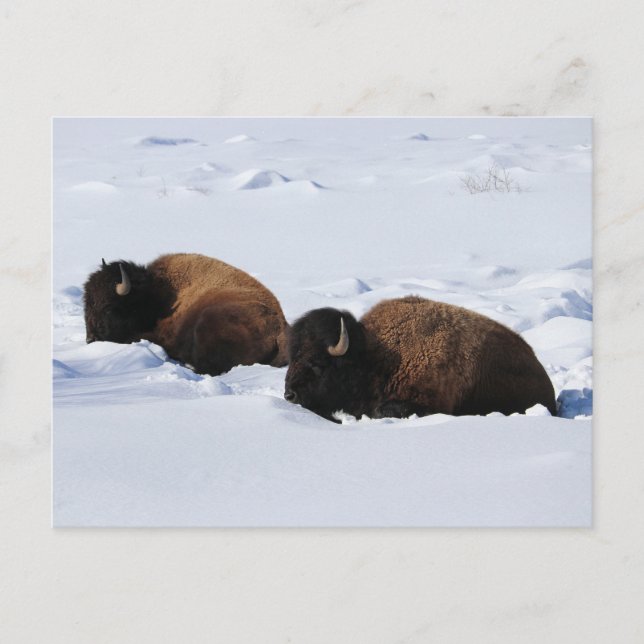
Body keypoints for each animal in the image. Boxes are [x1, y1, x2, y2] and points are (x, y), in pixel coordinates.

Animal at [83, 253, 288, 375]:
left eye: (108, 307)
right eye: (87, 302)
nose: (90, 339)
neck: (154, 293)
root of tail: (280, 330)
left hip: (207, 320)